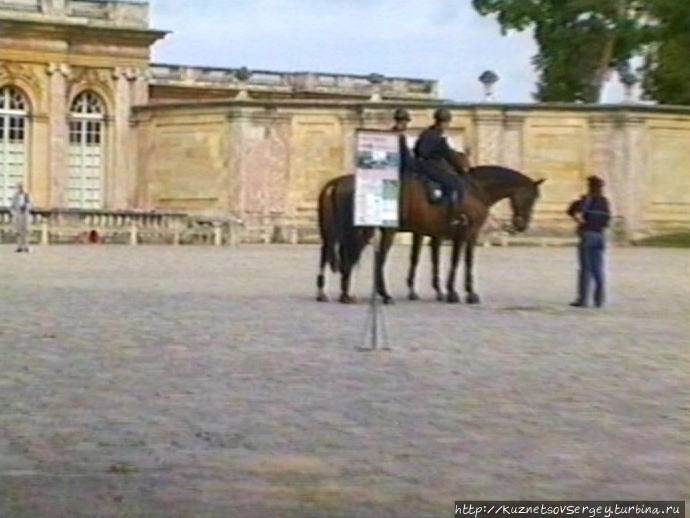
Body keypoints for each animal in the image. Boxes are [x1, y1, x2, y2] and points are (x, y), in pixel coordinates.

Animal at [318, 166, 544, 304]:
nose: (521, 225)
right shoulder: (464, 233)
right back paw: (375, 294)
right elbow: (459, 262)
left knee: (339, 254)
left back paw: (337, 293)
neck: (476, 190)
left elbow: (437, 260)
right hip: (370, 230)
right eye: (531, 198)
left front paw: (448, 291)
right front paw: (457, 292)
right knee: (366, 258)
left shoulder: (440, 234)